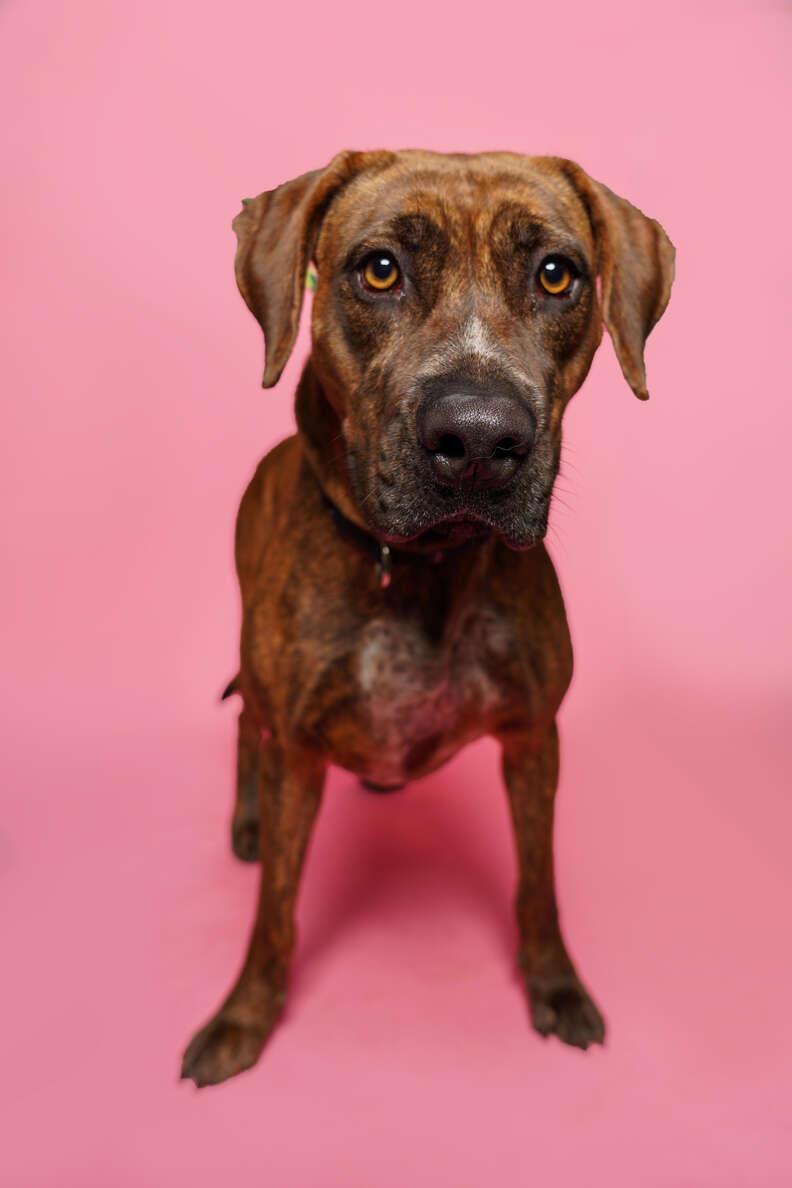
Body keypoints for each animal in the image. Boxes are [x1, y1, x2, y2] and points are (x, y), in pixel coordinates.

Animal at [181, 146, 674, 1088]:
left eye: (557, 274)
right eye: (379, 269)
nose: (479, 438)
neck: (422, 568)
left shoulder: (534, 739)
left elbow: (537, 883)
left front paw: (555, 986)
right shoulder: (297, 749)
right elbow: (275, 911)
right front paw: (244, 1016)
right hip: (256, 679)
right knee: (242, 728)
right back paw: (248, 822)